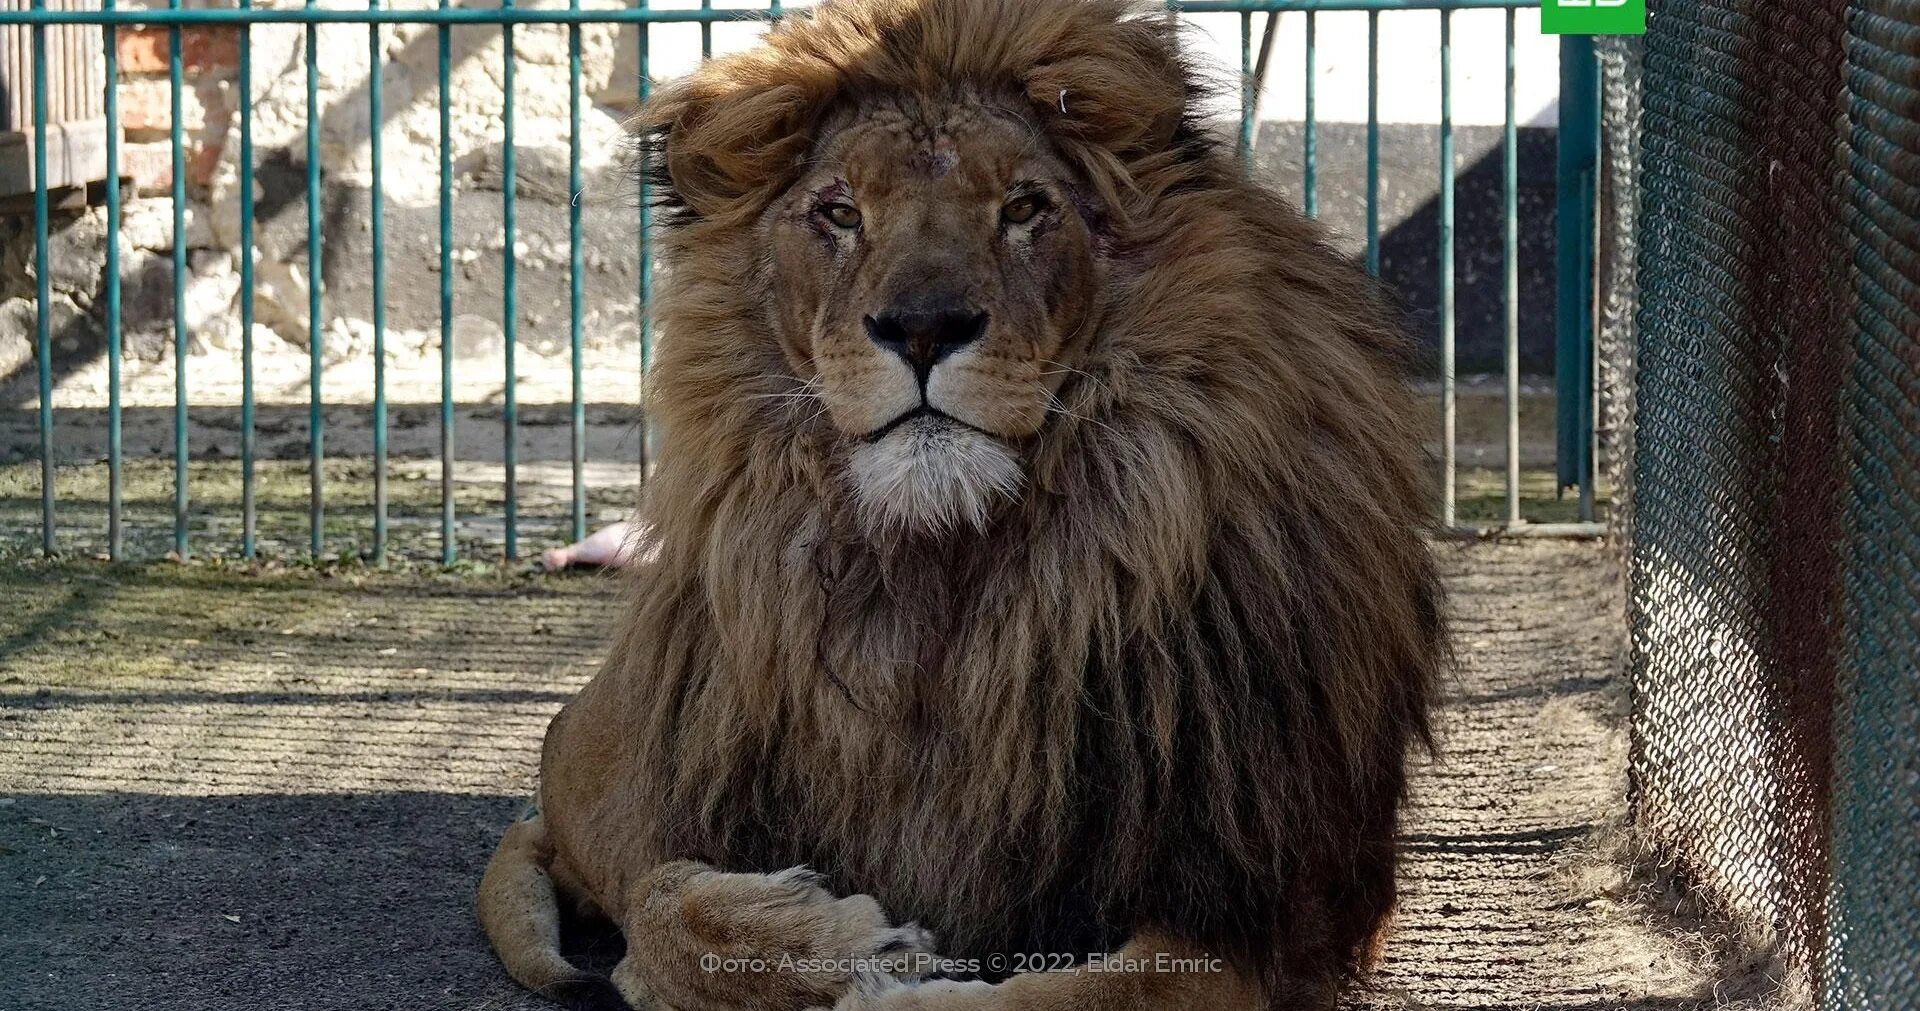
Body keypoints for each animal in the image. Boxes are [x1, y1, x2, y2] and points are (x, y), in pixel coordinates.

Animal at [476, 1, 1443, 1011]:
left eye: (1023, 207)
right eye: (840, 212)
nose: (922, 327)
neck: (949, 572)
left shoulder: (1272, 907)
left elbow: (1077, 992)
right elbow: (660, 910)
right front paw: (848, 948)